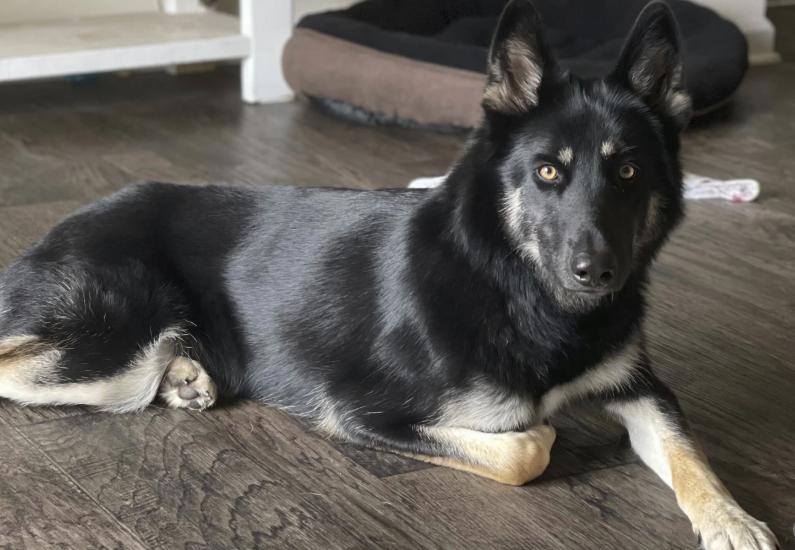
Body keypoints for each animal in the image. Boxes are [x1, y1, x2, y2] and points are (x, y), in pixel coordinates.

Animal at [0, 2, 780, 548]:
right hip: (117, 346)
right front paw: (540, 438)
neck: (517, 287)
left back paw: (190, 376)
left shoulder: (641, 389)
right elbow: (528, 448)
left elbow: (691, 454)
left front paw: (731, 517)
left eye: (628, 173)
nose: (598, 272)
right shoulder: (364, 411)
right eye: (548, 172)